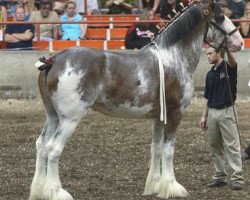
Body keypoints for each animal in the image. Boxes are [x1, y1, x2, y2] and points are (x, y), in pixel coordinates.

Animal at [28, 0, 242, 200]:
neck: (173, 57)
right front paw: (173, 187)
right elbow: (168, 150)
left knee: (41, 146)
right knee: (53, 149)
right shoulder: (175, 114)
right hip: (69, 119)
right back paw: (57, 192)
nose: (239, 42)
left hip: (53, 116)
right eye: (221, 17)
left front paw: (155, 186)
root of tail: (53, 61)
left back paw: (39, 190)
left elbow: (156, 149)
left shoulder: (158, 118)